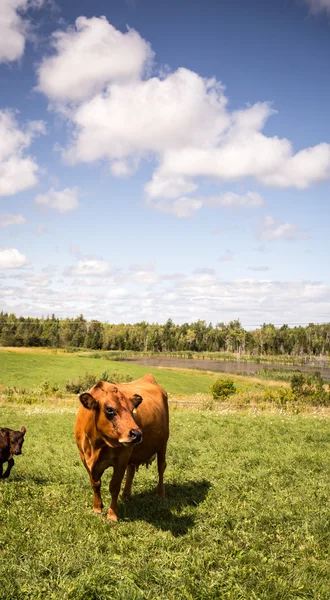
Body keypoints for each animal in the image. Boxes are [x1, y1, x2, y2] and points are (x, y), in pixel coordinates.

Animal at [74, 376, 168, 520]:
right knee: (131, 471)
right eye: (109, 409)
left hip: (163, 443)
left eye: (132, 409)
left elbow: (114, 486)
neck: (96, 445)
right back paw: (126, 496)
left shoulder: (121, 459)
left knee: (161, 467)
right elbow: (95, 484)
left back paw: (160, 493)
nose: (137, 434)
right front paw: (97, 508)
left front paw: (112, 515)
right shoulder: (84, 458)